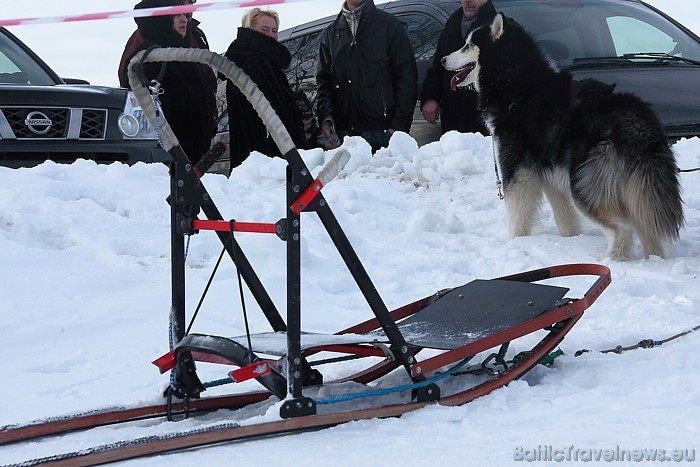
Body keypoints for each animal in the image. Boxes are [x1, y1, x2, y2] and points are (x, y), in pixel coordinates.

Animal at [442, 12, 684, 262]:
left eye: (468, 45)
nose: (442, 59)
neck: (515, 80)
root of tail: (632, 117)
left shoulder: (516, 170)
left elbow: (517, 216)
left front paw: (514, 243)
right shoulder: (549, 176)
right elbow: (565, 220)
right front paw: (571, 239)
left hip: (584, 185)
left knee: (623, 229)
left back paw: (611, 261)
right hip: (632, 188)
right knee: (647, 229)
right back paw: (653, 260)